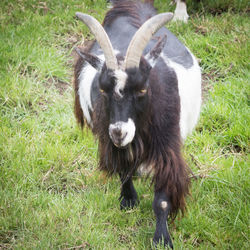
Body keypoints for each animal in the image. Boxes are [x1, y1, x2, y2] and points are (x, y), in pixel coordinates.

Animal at [73, 0, 201, 247]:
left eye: (142, 89)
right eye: (102, 90)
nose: (119, 132)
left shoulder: (167, 147)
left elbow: (162, 199)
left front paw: (162, 239)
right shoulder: (111, 141)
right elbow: (124, 170)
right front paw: (128, 200)